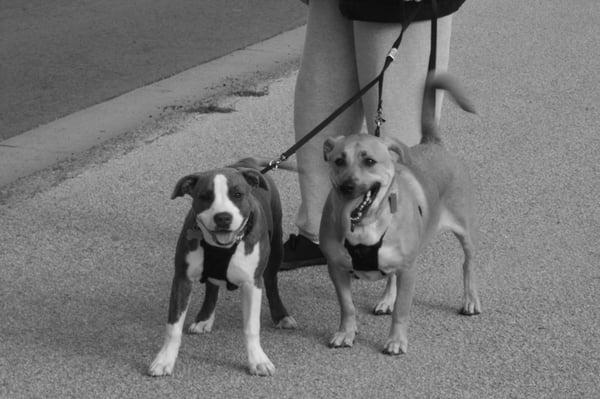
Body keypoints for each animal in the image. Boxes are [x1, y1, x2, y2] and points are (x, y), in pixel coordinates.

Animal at [318, 72, 482, 356]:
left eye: (369, 161)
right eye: (339, 161)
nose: (347, 187)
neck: (366, 222)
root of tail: (433, 143)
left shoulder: (408, 270)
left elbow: (402, 311)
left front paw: (396, 340)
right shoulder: (336, 268)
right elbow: (347, 306)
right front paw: (345, 333)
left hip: (465, 229)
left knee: (468, 263)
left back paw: (470, 299)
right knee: (390, 277)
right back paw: (386, 299)